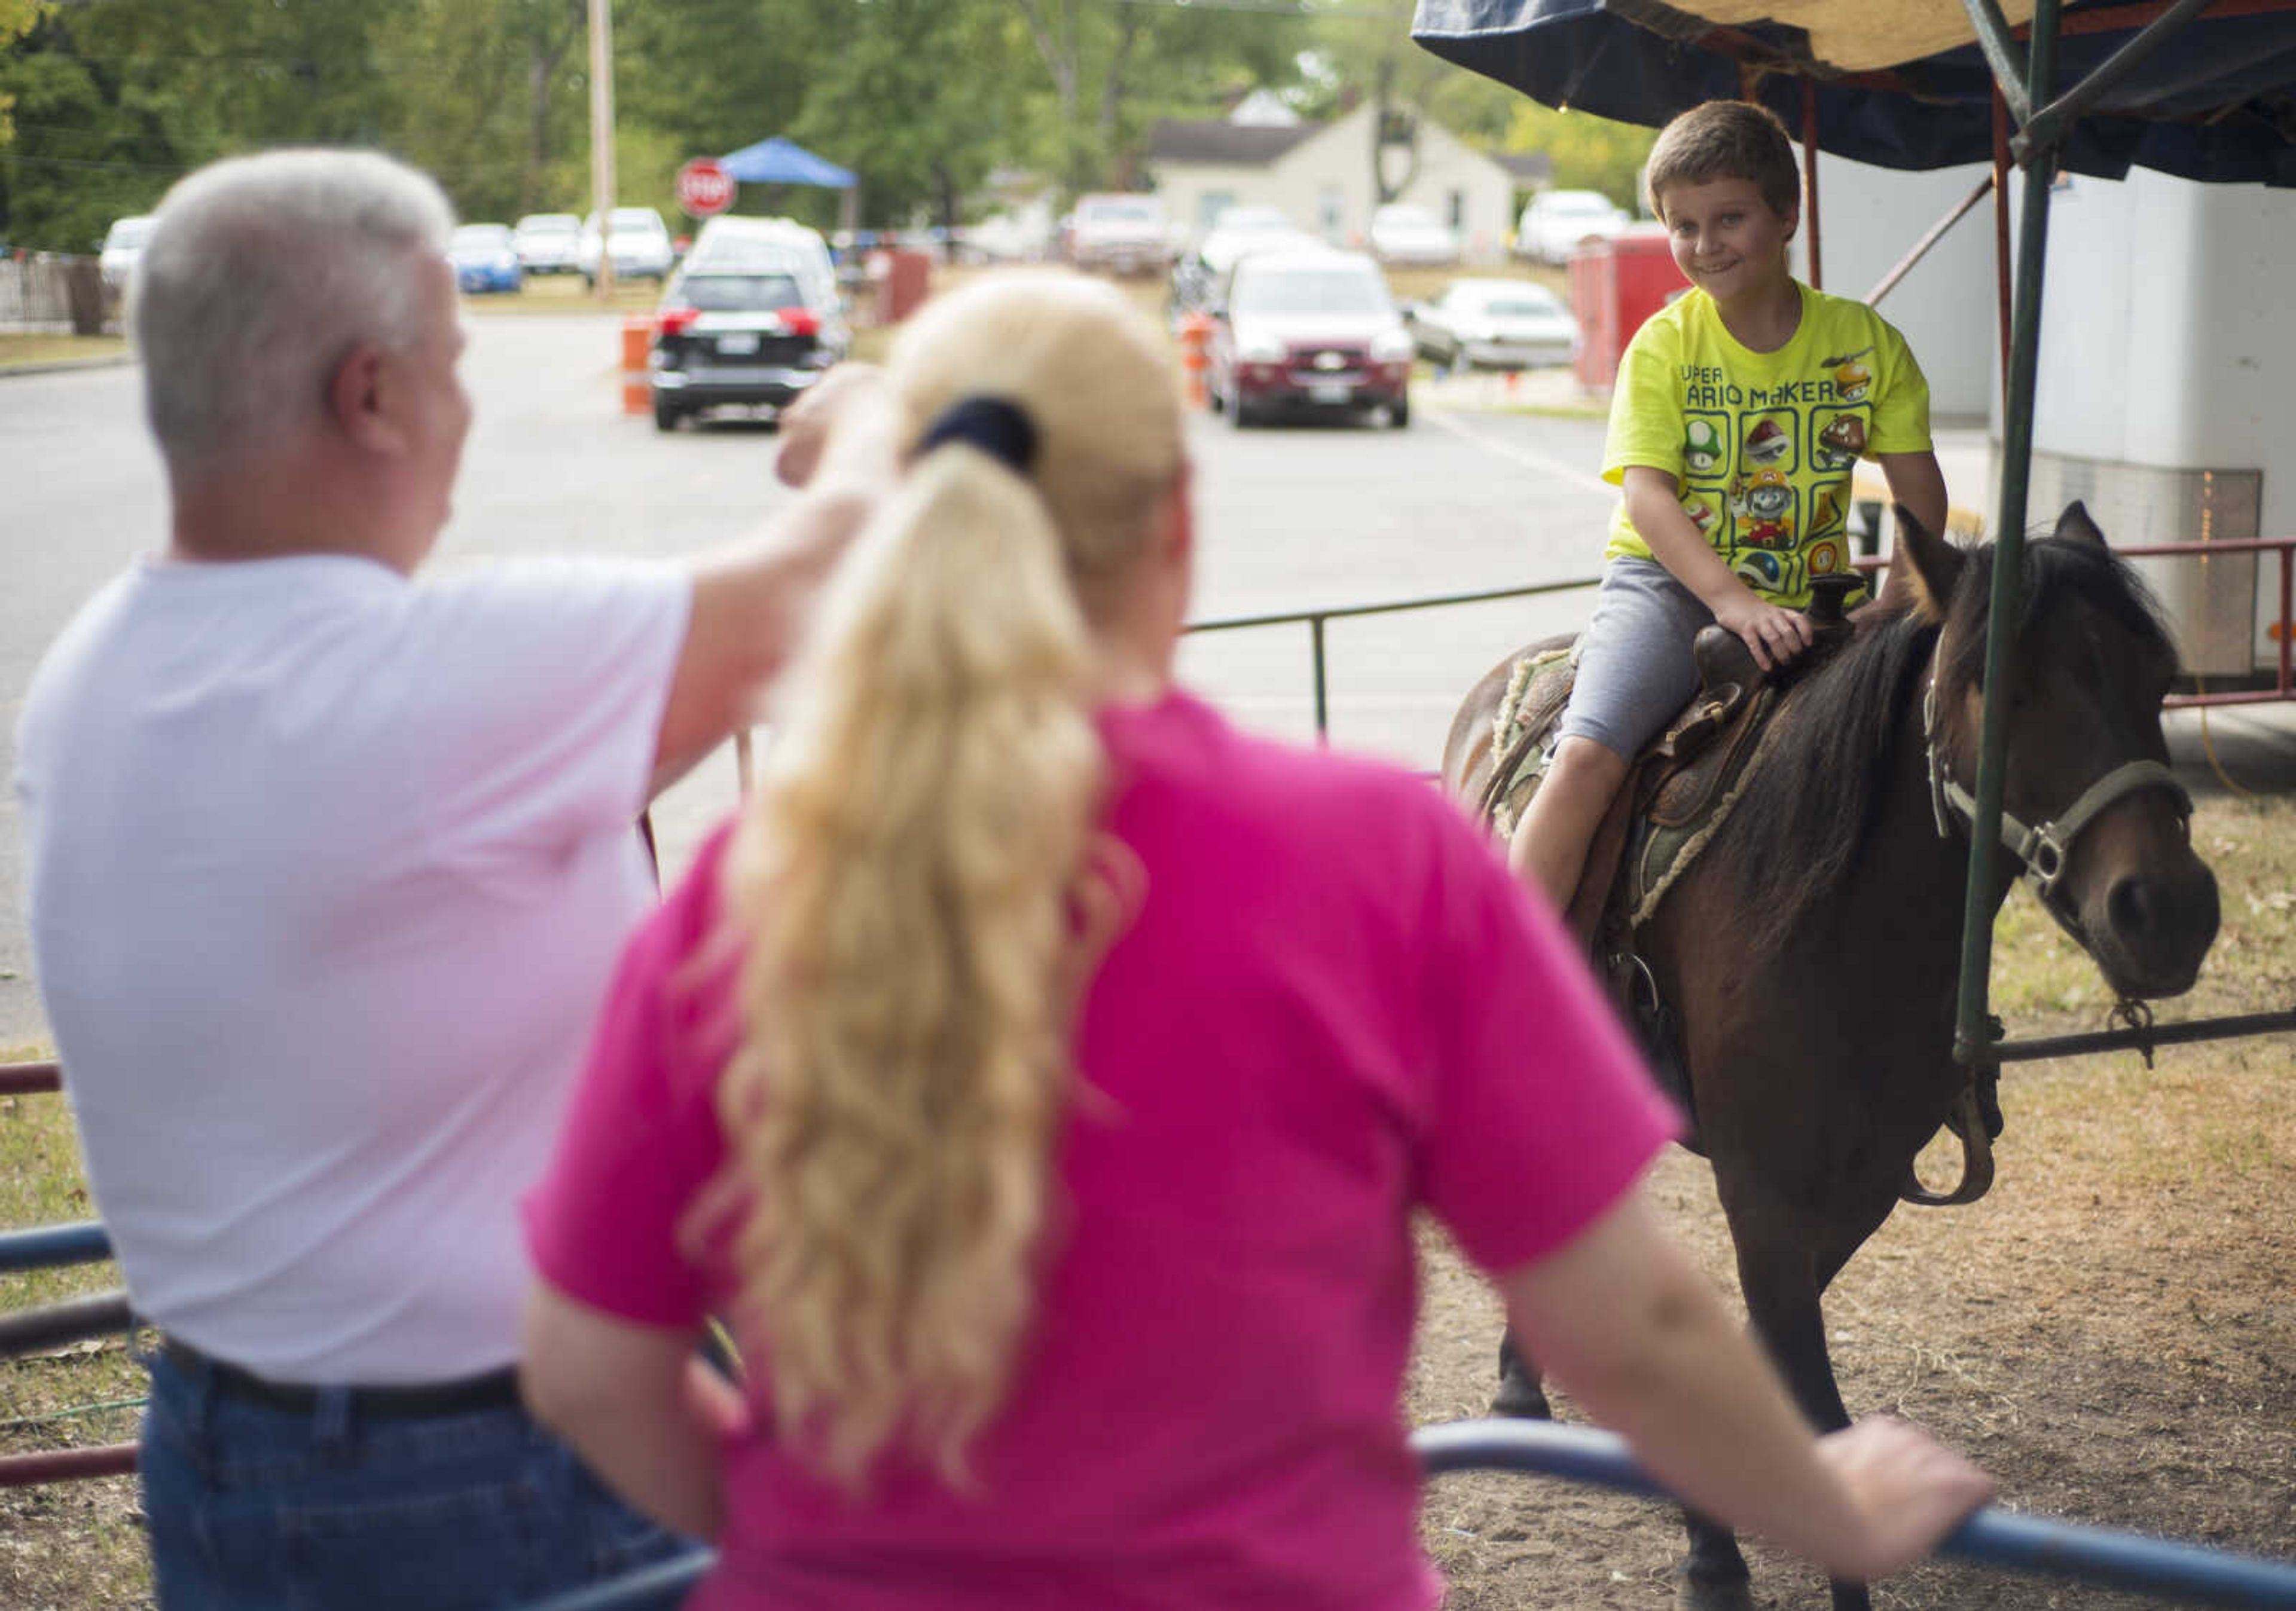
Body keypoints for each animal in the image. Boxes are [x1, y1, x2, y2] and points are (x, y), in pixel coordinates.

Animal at [1442, 512, 2213, 1611]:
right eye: (2003, 686)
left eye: (2160, 680)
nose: (2169, 909)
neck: (1833, 915)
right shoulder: (1764, 1200)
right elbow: (1818, 1412)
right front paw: (1722, 1555)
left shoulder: (1862, 1189)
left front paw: (1712, 1532)